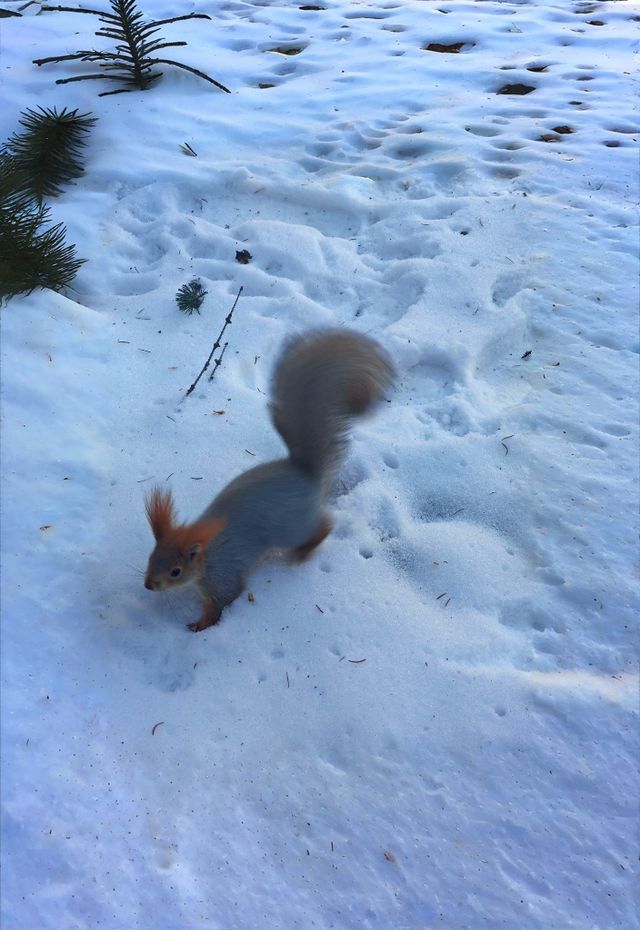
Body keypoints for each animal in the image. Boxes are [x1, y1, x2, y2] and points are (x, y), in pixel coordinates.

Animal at [145, 328, 396, 632]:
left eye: (175, 571)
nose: (148, 585)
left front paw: (199, 627)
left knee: (322, 527)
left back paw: (301, 554)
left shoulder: (224, 575)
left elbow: (222, 603)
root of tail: (304, 473)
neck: (205, 554)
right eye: (151, 557)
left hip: (293, 526)